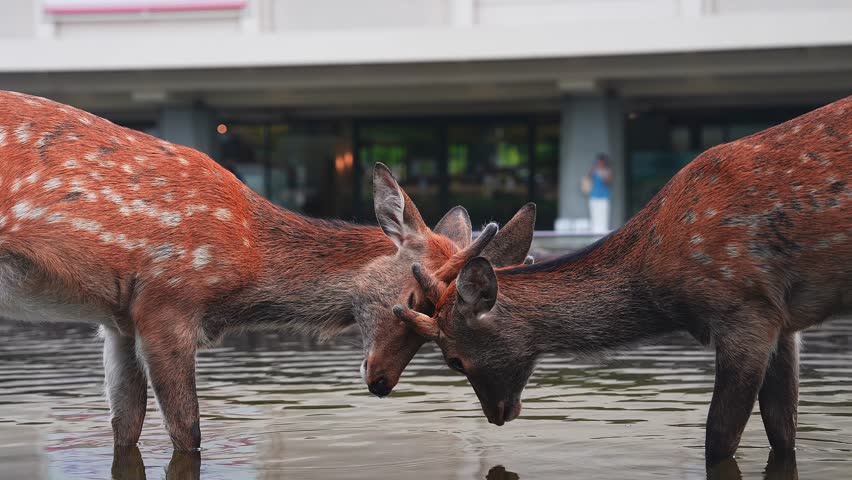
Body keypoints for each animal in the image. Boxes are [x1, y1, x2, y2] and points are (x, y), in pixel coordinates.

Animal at [0, 90, 508, 451]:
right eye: (414, 299)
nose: (381, 383)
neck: (244, 268)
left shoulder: (118, 319)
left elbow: (125, 426)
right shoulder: (166, 303)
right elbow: (188, 431)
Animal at [393, 95, 852, 465]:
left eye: (454, 359)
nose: (497, 415)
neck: (662, 287)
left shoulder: (744, 308)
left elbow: (718, 438)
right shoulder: (784, 323)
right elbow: (784, 429)